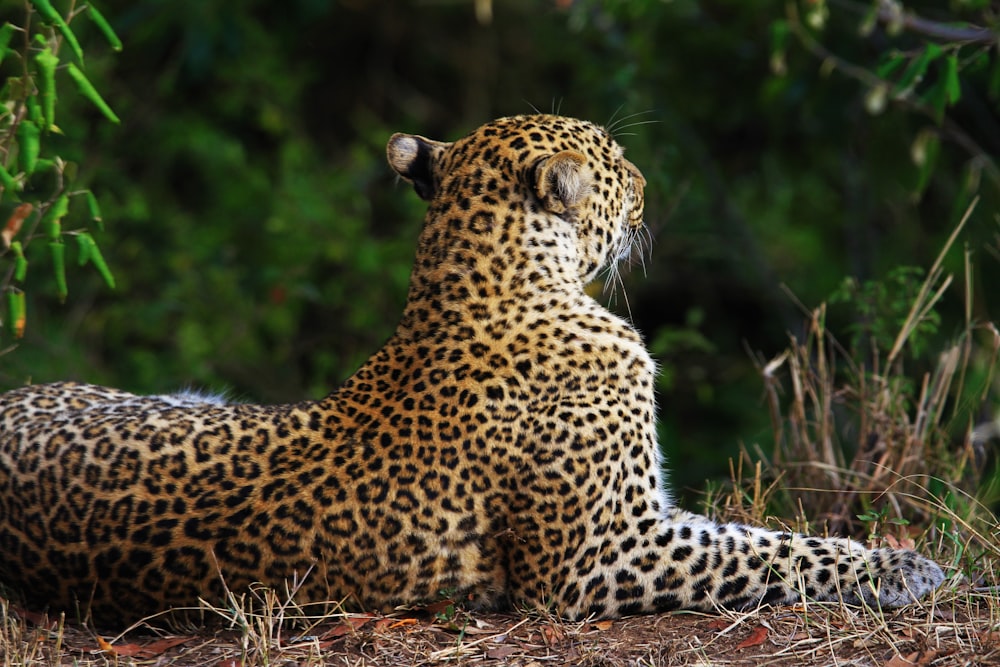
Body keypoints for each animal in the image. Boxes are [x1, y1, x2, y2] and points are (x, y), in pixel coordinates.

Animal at [0, 112, 944, 628]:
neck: (486, 276)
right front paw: (900, 569)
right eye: (614, 163)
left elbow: (753, 532)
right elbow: (768, 549)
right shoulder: (599, 553)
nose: (646, 182)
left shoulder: (638, 522)